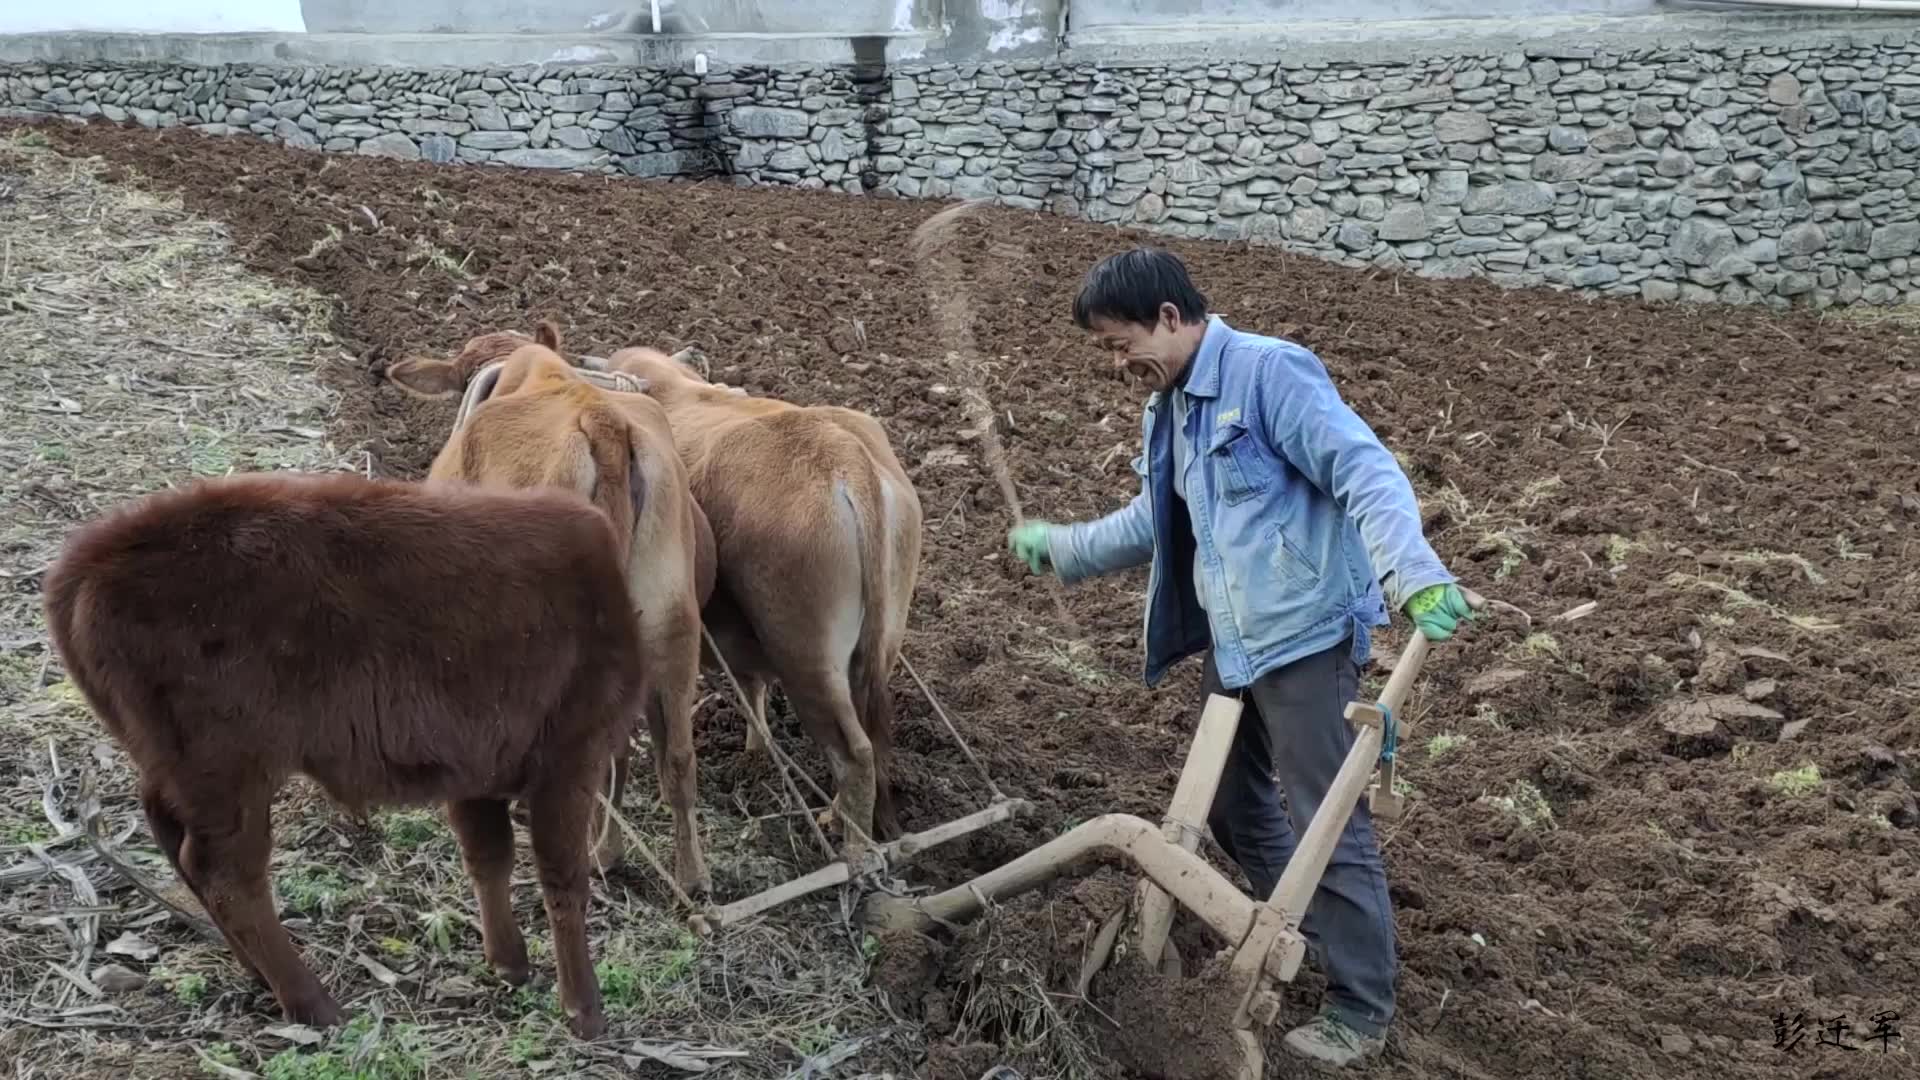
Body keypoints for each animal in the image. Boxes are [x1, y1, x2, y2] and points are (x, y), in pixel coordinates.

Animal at [39, 468, 637, 1037]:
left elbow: (489, 857)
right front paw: (585, 1009)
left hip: (175, 763)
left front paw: (509, 963)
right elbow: (564, 878)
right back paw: (313, 1003)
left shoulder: (477, 765)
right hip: (228, 767)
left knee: (172, 838)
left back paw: (259, 974)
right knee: (226, 874)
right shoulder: (571, 752)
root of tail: (83, 563)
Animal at [583, 340, 921, 860]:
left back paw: (855, 853)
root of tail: (843, 456)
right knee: (870, 739)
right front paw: (753, 755)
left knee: (856, 755)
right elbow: (752, 695)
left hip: (806, 658)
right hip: (874, 648)